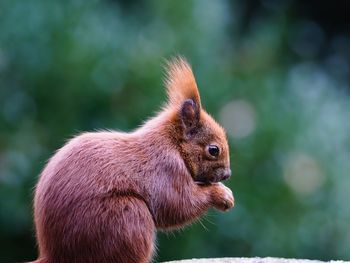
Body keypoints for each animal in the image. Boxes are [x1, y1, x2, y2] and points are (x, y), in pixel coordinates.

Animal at [32, 57, 234, 263]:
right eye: (213, 150)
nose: (227, 175)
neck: (172, 143)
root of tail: (54, 254)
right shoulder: (166, 168)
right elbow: (178, 204)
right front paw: (222, 195)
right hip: (127, 218)